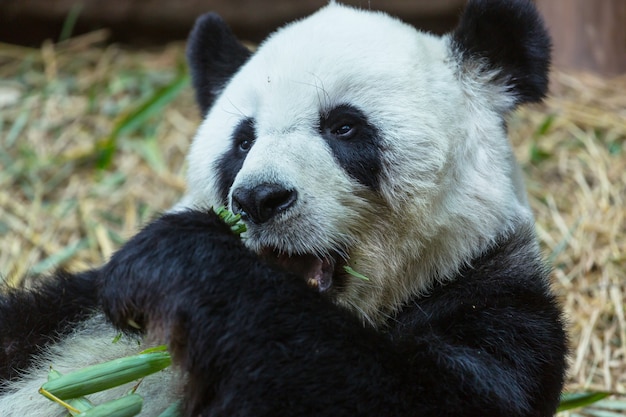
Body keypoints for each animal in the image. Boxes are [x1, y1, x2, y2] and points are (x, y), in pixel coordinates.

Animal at [0, 0, 564, 416]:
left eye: (344, 126)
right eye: (243, 141)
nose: (257, 199)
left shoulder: (494, 304)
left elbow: (409, 395)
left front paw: (176, 262)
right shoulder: (74, 305)